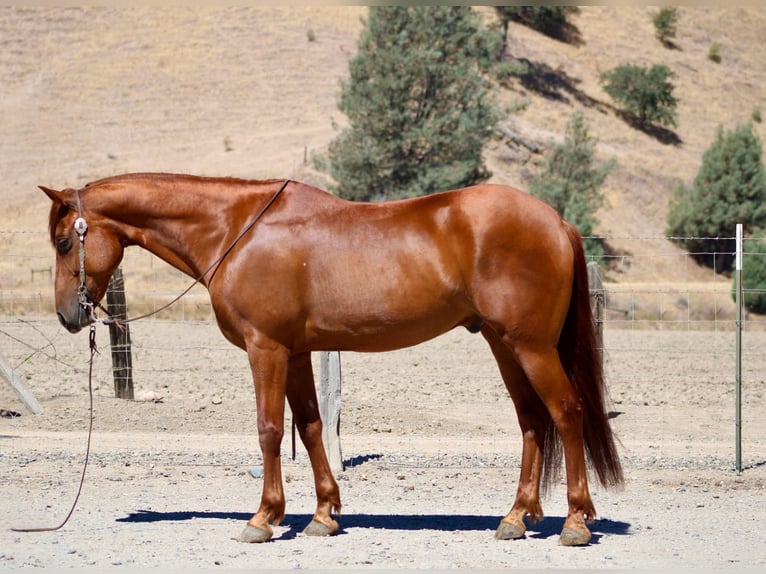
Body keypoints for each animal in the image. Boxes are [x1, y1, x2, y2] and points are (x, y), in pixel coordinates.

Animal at [41, 172, 622, 546]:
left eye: (66, 241)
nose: (68, 315)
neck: (236, 229)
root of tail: (557, 222)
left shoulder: (267, 349)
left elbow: (270, 429)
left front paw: (263, 518)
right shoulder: (297, 353)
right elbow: (312, 425)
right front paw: (323, 514)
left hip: (531, 346)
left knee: (566, 413)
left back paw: (575, 523)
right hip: (505, 345)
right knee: (531, 420)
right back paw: (516, 517)